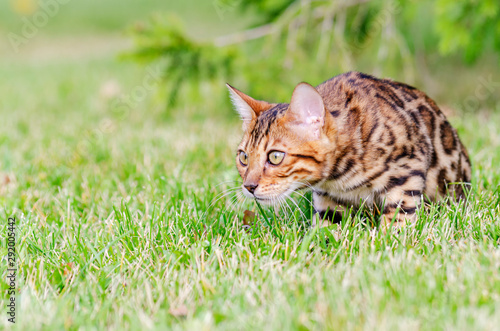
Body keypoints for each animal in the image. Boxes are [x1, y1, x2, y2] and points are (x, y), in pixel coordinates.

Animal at [229, 71, 470, 230]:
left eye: (275, 156)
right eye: (243, 157)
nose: (248, 187)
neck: (340, 176)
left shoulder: (409, 168)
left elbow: (398, 217)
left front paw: (389, 242)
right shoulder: (328, 198)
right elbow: (325, 231)